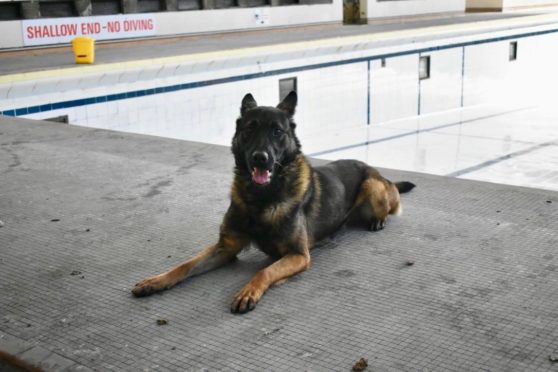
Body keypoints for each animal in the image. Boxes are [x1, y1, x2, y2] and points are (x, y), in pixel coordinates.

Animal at [133, 91, 416, 312]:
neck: (261, 197)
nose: (261, 158)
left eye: (277, 132)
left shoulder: (298, 255)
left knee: (388, 208)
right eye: (250, 129)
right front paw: (156, 281)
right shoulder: (225, 247)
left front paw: (248, 292)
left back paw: (378, 220)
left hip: (372, 186)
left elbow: (265, 270)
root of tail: (376, 171)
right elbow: (185, 265)